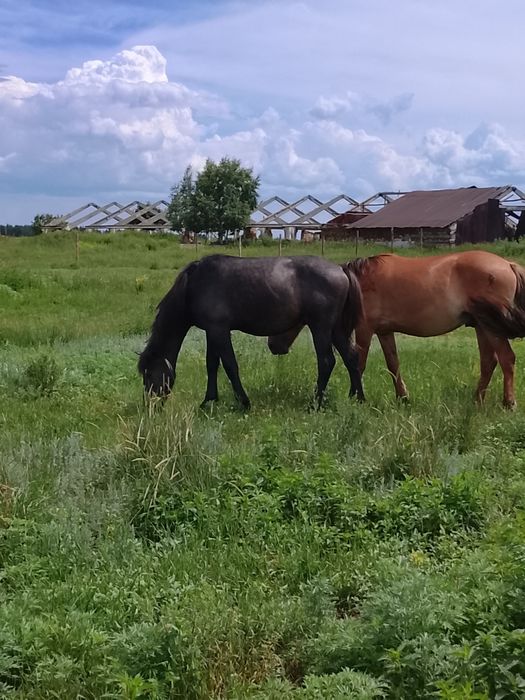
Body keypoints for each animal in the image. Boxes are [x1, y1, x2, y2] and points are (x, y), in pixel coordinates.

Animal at [138, 254, 365, 409]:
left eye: (149, 375)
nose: (151, 406)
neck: (194, 285)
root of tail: (340, 269)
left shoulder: (220, 330)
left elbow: (230, 366)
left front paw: (244, 402)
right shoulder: (212, 331)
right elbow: (212, 365)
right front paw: (209, 401)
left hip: (321, 328)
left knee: (326, 362)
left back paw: (315, 403)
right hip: (336, 329)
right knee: (351, 358)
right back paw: (357, 398)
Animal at [267, 251, 525, 408]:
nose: (273, 346)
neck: (354, 284)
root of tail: (508, 265)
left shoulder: (365, 329)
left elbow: (359, 363)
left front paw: (355, 397)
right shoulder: (384, 332)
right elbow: (393, 364)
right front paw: (403, 397)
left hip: (491, 327)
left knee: (506, 359)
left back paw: (509, 403)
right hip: (482, 326)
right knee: (489, 362)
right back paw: (477, 401)